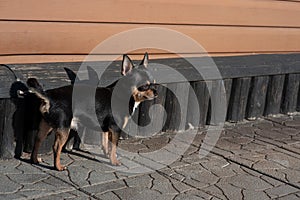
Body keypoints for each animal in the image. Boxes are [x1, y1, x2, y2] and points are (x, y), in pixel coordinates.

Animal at [25, 53, 157, 170]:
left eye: (154, 83)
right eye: (145, 86)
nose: (156, 92)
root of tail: (49, 96)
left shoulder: (105, 128)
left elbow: (105, 144)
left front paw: (107, 156)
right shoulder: (115, 129)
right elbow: (113, 147)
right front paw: (114, 161)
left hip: (45, 126)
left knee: (37, 141)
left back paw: (35, 160)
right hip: (64, 128)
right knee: (56, 147)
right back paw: (58, 167)